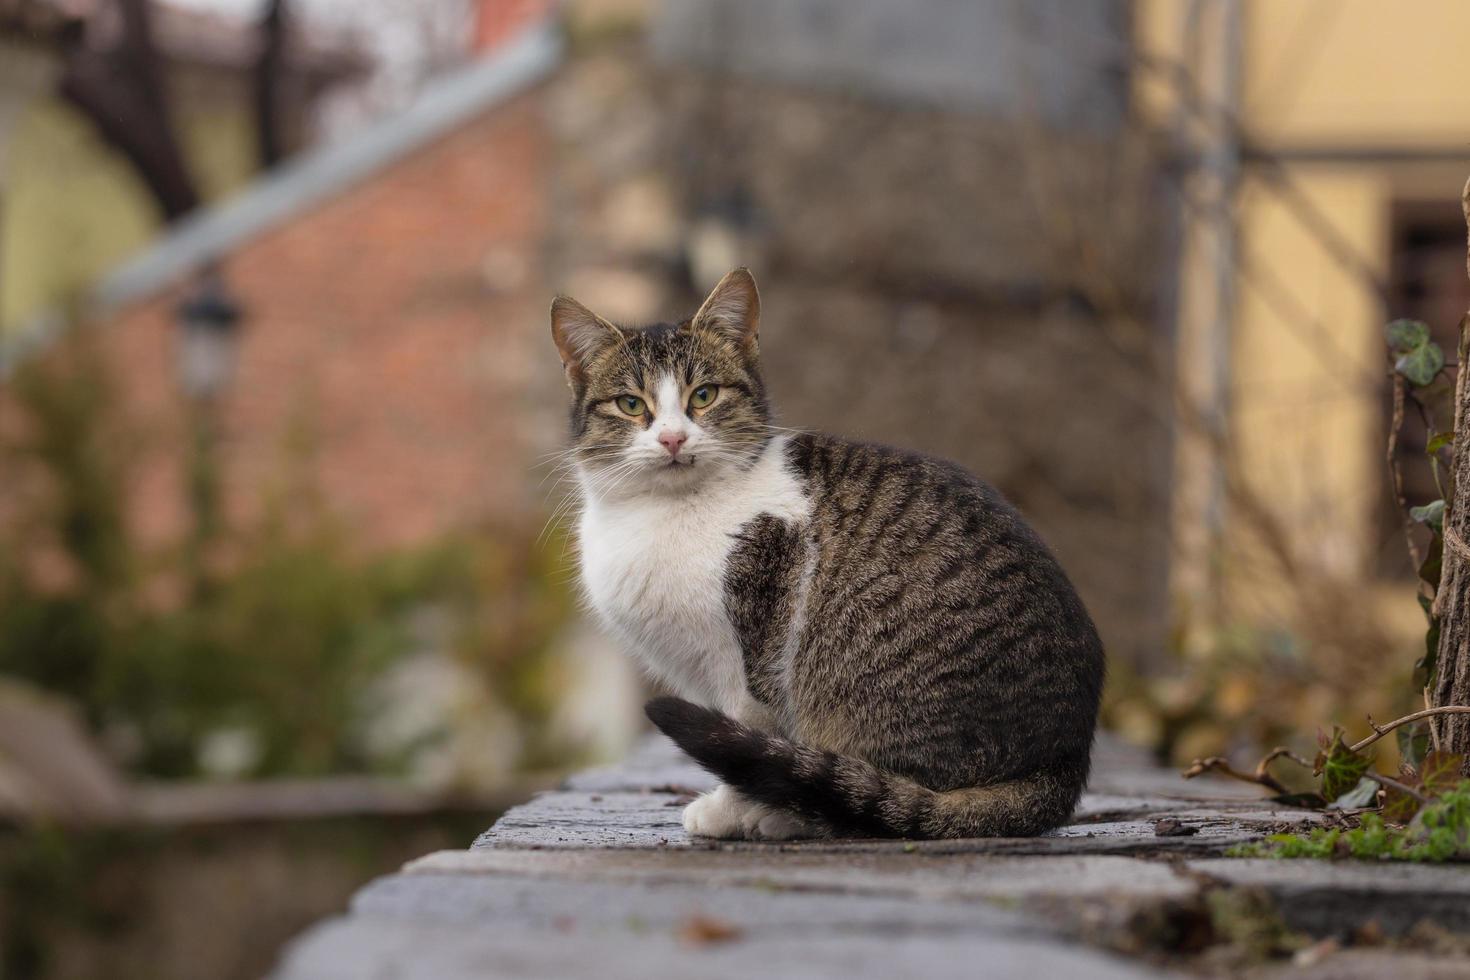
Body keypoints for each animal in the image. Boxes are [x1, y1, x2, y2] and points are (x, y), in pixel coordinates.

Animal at [552, 268, 1105, 846]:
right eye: (631, 405)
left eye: (703, 395)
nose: (673, 438)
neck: (665, 509)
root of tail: (1061, 767)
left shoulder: (749, 659)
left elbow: (747, 737)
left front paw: (729, 809)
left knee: (872, 795)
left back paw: (785, 814)